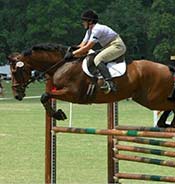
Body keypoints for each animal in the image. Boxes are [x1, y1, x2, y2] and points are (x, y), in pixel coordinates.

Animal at [7, 42, 175, 128]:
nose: (17, 95)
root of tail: (168, 68)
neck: (62, 64)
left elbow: (44, 95)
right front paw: (58, 114)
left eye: (16, 71)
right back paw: (165, 123)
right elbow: (46, 98)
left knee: (170, 105)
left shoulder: (73, 94)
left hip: (153, 99)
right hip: (144, 98)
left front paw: (58, 114)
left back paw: (167, 123)